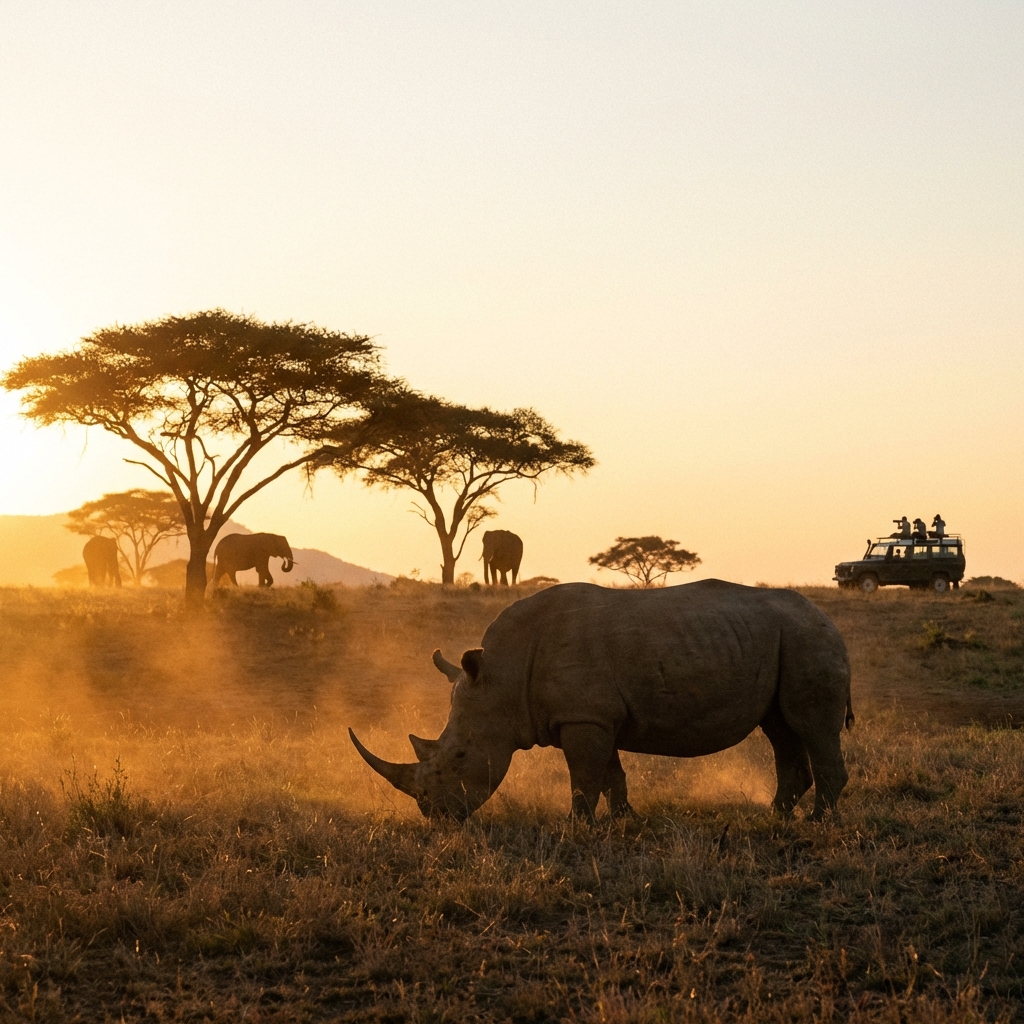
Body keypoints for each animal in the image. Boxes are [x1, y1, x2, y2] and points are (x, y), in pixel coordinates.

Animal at [350, 580, 854, 822]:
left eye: (458, 756)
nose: (433, 815)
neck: (502, 678)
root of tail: (828, 619)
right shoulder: (595, 716)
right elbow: (611, 774)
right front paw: (625, 819)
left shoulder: (584, 718)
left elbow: (585, 776)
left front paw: (576, 825)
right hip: (786, 639)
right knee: (781, 728)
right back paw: (778, 816)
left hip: (808, 639)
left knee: (810, 727)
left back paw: (816, 822)